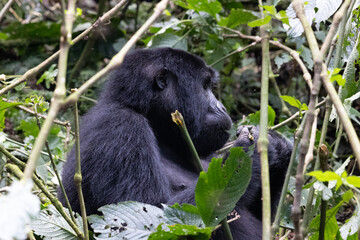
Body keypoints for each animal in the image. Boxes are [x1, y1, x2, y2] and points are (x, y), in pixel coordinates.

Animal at [57, 47, 292, 239]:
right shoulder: (120, 127)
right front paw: (247, 150)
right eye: (205, 86)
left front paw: (279, 148)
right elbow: (148, 217)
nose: (222, 107)